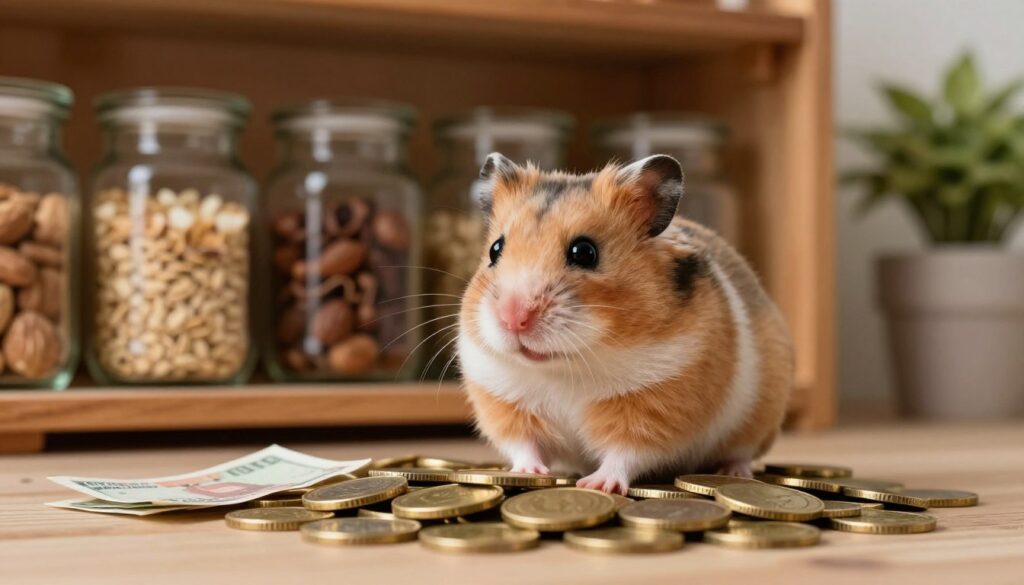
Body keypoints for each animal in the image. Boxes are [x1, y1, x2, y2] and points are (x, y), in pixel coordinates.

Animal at [457, 152, 794, 495]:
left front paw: (596, 485)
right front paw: (528, 473)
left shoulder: (655, 408)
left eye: (584, 252)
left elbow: (625, 453)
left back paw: (735, 473)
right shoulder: (504, 401)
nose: (513, 318)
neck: (566, 367)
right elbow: (523, 444)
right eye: (495, 249)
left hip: (761, 415)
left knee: (742, 451)